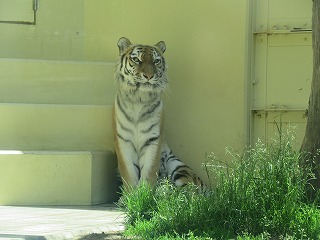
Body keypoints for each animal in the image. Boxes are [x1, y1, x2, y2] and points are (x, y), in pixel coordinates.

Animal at [114, 37, 206, 191]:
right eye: (136, 60)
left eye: (156, 61)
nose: (149, 76)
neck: (139, 99)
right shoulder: (123, 140)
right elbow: (128, 172)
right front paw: (130, 194)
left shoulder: (153, 139)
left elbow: (149, 171)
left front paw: (144, 193)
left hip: (178, 167)